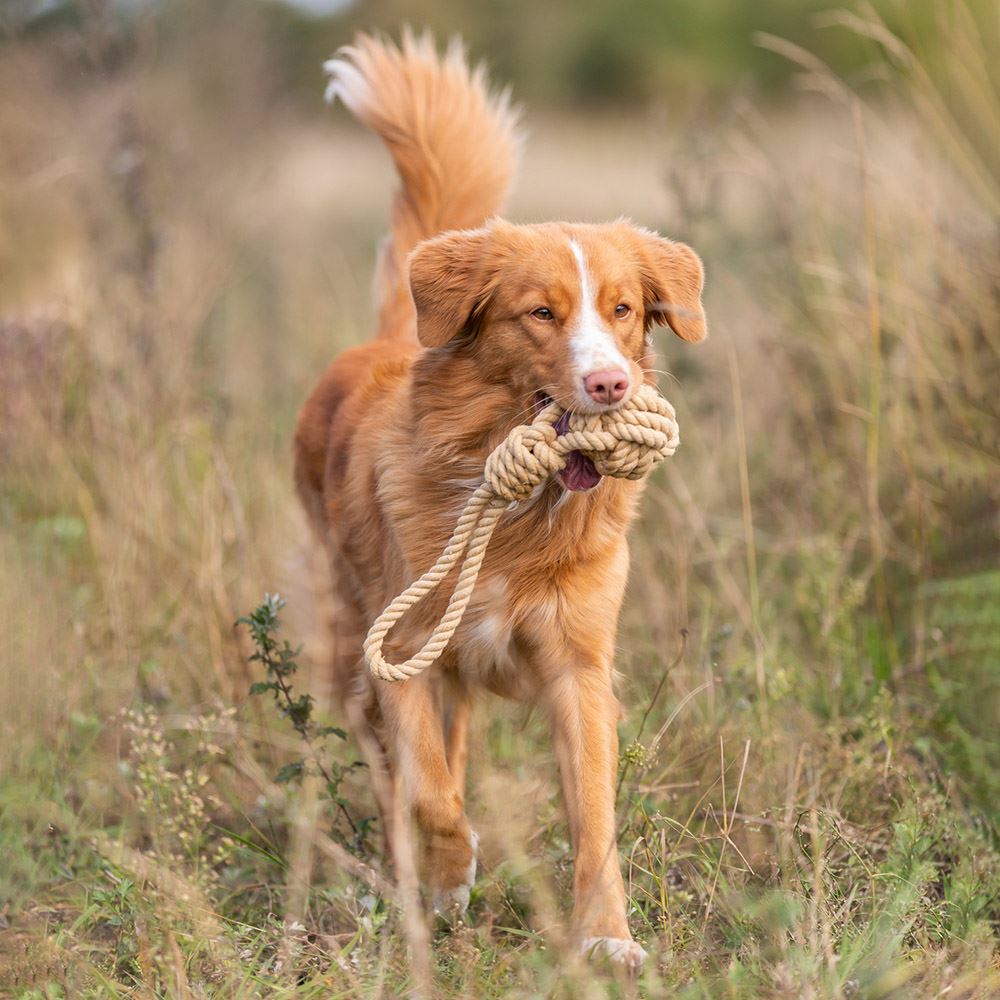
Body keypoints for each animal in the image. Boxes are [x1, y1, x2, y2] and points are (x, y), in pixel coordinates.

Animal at [292, 29, 708, 968]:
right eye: (541, 314)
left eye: (623, 309)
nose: (610, 383)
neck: (512, 516)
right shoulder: (405, 656)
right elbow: (433, 795)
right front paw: (453, 876)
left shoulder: (579, 668)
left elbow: (594, 818)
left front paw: (607, 938)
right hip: (350, 650)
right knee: (398, 774)